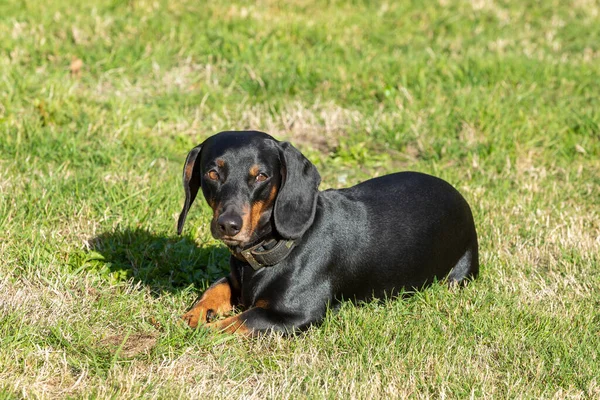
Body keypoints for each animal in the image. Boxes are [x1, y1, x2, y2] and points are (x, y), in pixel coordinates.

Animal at [177, 131, 478, 334]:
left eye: (261, 176)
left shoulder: (294, 315)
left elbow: (238, 322)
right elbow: (215, 289)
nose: (228, 225)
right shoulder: (235, 282)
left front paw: (202, 331)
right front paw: (193, 315)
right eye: (212, 173)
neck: (277, 246)